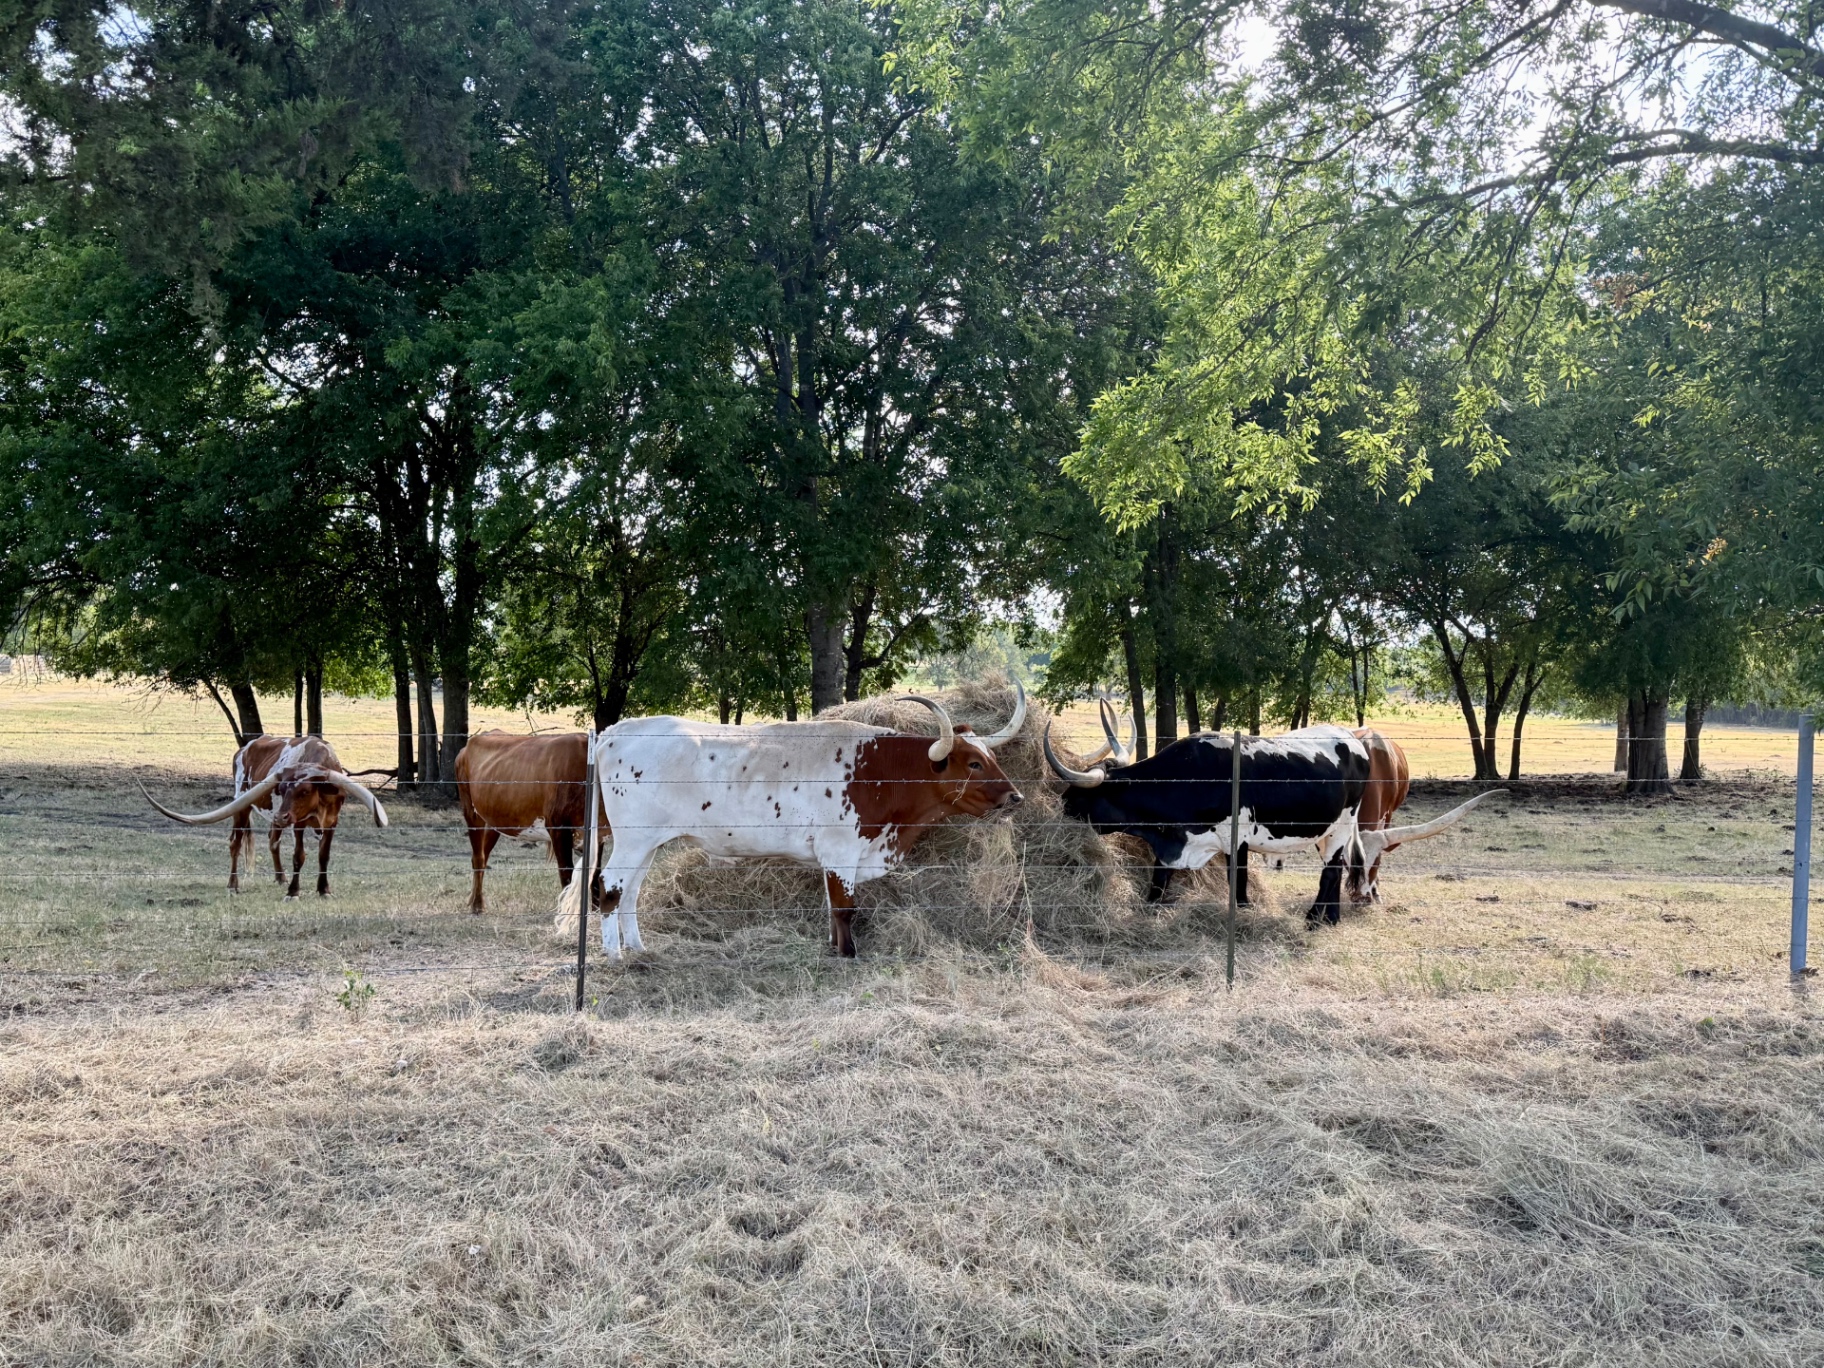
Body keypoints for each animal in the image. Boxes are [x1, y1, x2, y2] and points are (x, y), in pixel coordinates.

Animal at [139, 734, 388, 898]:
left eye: (305, 791)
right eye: (283, 789)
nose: (281, 816)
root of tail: (244, 747)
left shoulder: (332, 822)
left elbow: (323, 856)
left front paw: (323, 890)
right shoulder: (299, 823)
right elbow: (299, 855)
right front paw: (293, 892)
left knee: (272, 841)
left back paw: (280, 877)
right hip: (242, 803)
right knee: (235, 843)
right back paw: (233, 885)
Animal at [454, 730, 599, 913]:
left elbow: (596, 874)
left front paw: (598, 911)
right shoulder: (558, 828)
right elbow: (567, 874)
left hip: (496, 818)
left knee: (483, 855)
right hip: (471, 811)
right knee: (478, 857)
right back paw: (477, 905)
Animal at [558, 686, 1027, 960]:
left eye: (992, 757)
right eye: (973, 762)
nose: (1015, 797)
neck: (878, 769)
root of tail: (614, 732)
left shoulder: (833, 857)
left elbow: (833, 907)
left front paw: (834, 948)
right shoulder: (841, 850)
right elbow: (846, 908)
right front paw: (849, 954)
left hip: (648, 843)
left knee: (631, 892)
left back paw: (639, 948)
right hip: (633, 840)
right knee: (609, 887)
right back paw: (615, 956)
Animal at [1044, 716, 1371, 924]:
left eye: (1078, 797)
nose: (1059, 809)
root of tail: (1351, 739)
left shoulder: (1237, 840)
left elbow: (1238, 887)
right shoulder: (1173, 843)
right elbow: (1158, 882)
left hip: (1343, 824)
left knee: (1330, 872)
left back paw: (1314, 919)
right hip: (1325, 831)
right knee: (1336, 867)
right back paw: (1331, 918)